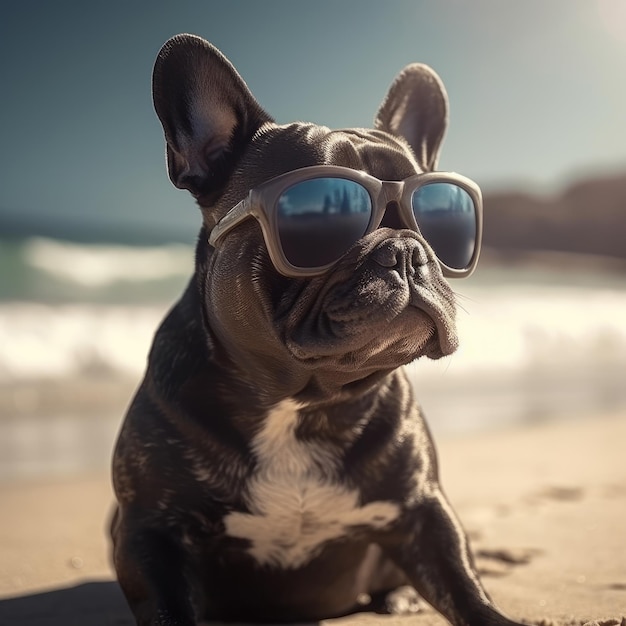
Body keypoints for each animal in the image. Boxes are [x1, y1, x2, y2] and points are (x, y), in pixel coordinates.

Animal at [111, 34, 520, 624]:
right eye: (319, 221)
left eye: (439, 221)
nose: (407, 251)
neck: (304, 403)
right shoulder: (151, 531)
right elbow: (170, 606)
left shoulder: (424, 508)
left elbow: (464, 585)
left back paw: (398, 598)